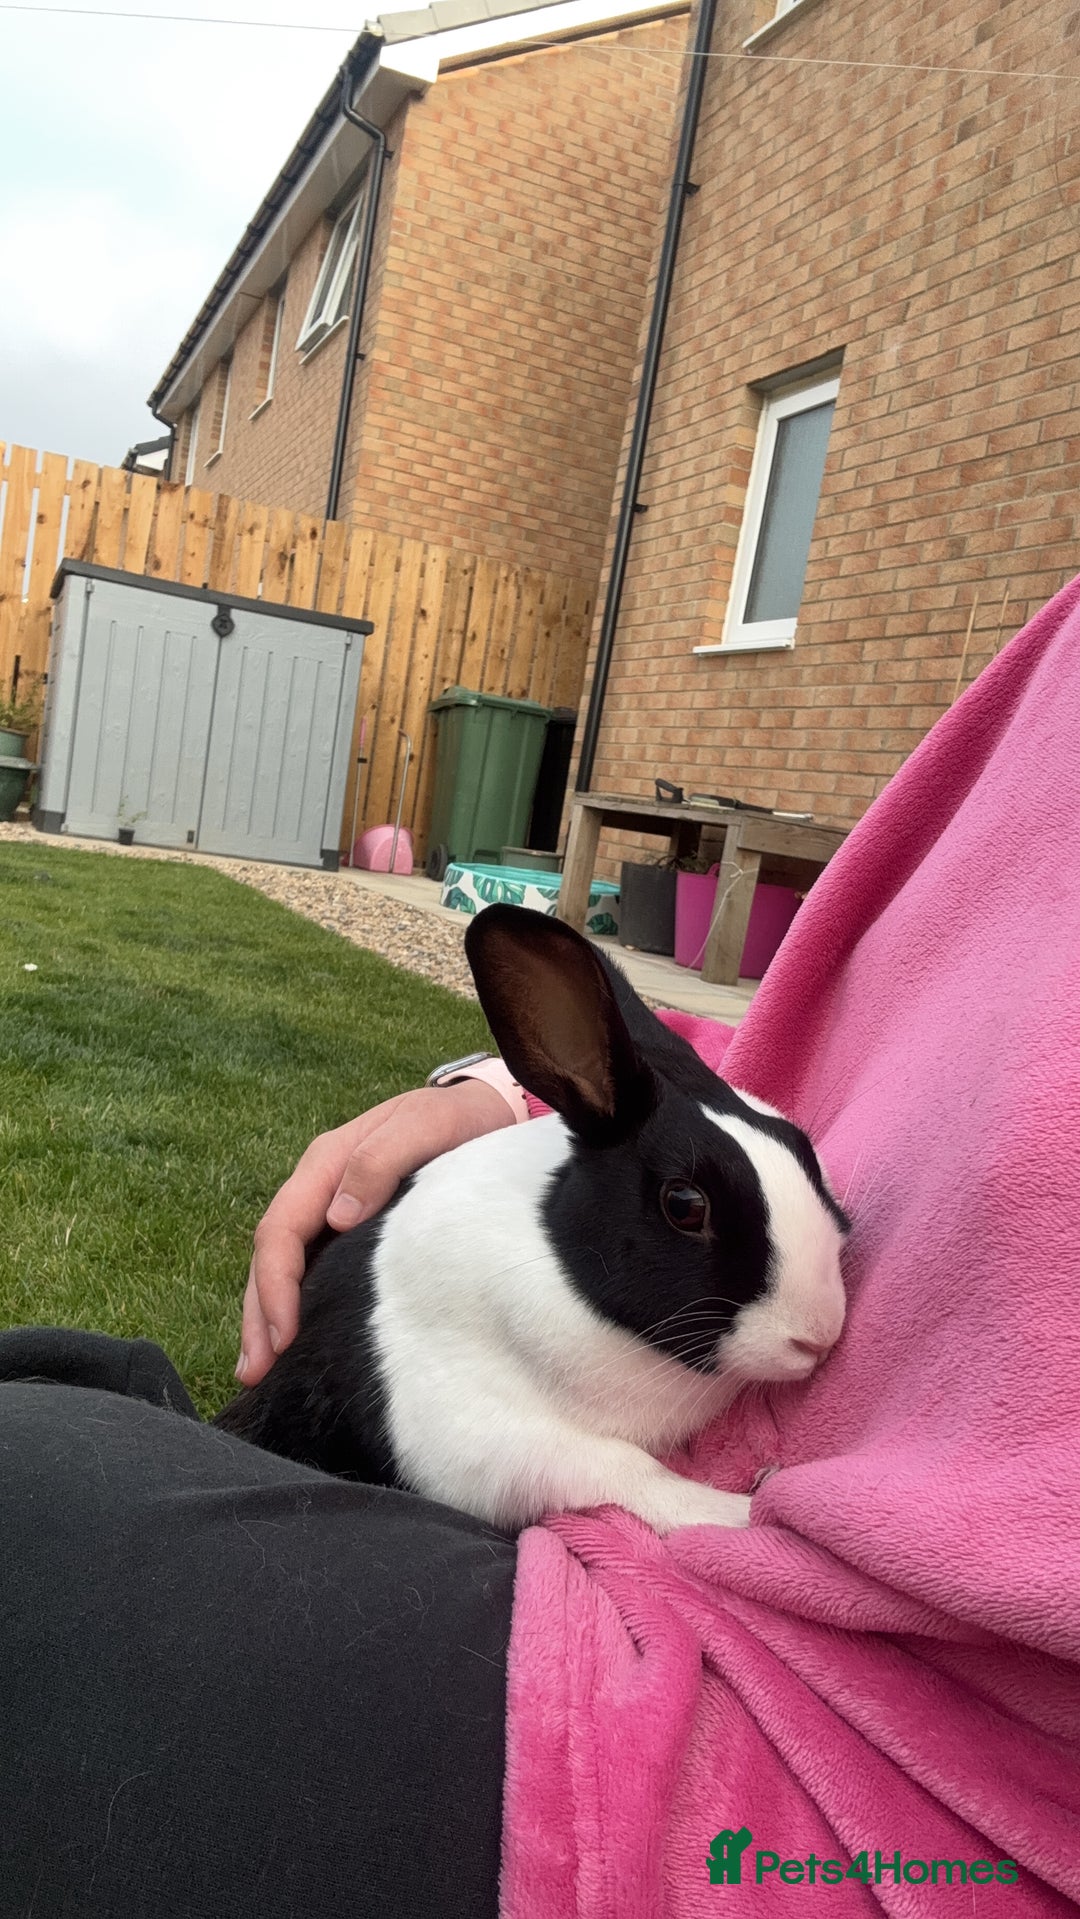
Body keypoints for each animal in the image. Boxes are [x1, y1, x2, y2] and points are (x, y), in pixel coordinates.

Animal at [215, 905, 850, 1536]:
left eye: (800, 1146)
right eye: (685, 1205)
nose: (817, 1336)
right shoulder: (482, 1438)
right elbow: (628, 1471)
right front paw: (740, 1508)